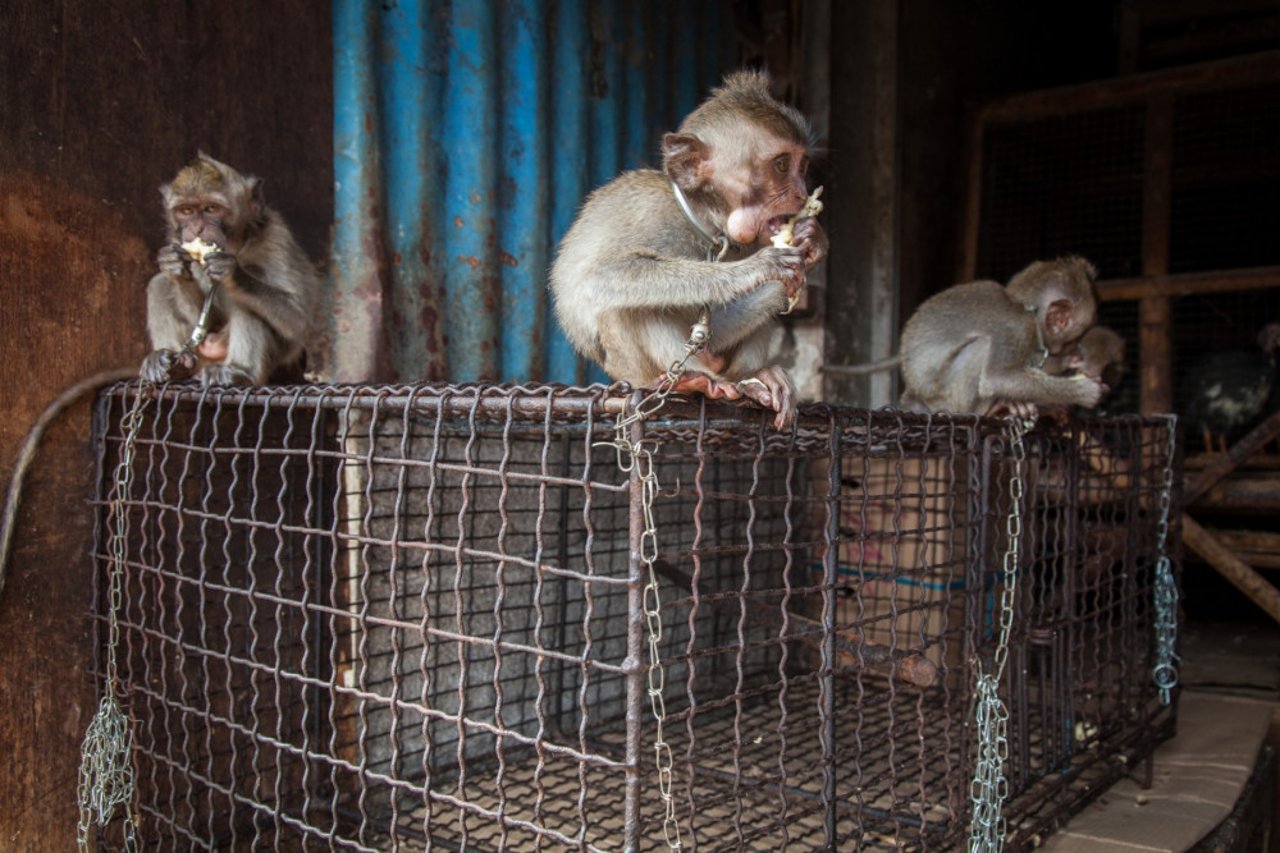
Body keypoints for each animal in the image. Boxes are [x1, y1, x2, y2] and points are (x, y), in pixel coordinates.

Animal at [550, 67, 829, 427]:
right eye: (781, 165)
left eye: (803, 166)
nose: (801, 192)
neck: (707, 222)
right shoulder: (651, 213)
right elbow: (600, 276)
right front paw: (760, 267)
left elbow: (722, 321)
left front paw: (812, 242)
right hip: (631, 373)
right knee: (621, 304)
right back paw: (695, 380)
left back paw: (750, 380)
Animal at [896, 253, 1105, 417]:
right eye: (1074, 340)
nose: (1072, 351)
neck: (1025, 308)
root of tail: (914, 393)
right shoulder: (1018, 329)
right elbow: (997, 378)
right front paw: (1084, 392)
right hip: (944, 402)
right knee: (981, 347)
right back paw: (988, 410)